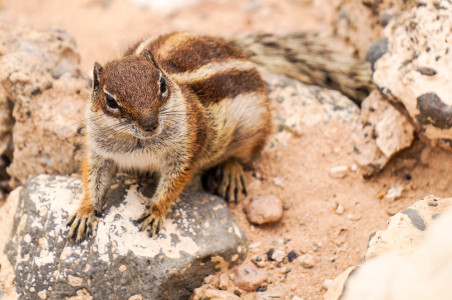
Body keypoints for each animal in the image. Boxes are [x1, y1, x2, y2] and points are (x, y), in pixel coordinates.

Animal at [66, 31, 370, 243]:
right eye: (111, 101)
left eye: (161, 85)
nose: (151, 125)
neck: (138, 144)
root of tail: (237, 49)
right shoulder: (98, 151)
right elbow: (92, 178)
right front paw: (84, 211)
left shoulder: (189, 147)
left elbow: (173, 184)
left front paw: (155, 211)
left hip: (254, 128)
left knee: (242, 155)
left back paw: (232, 174)